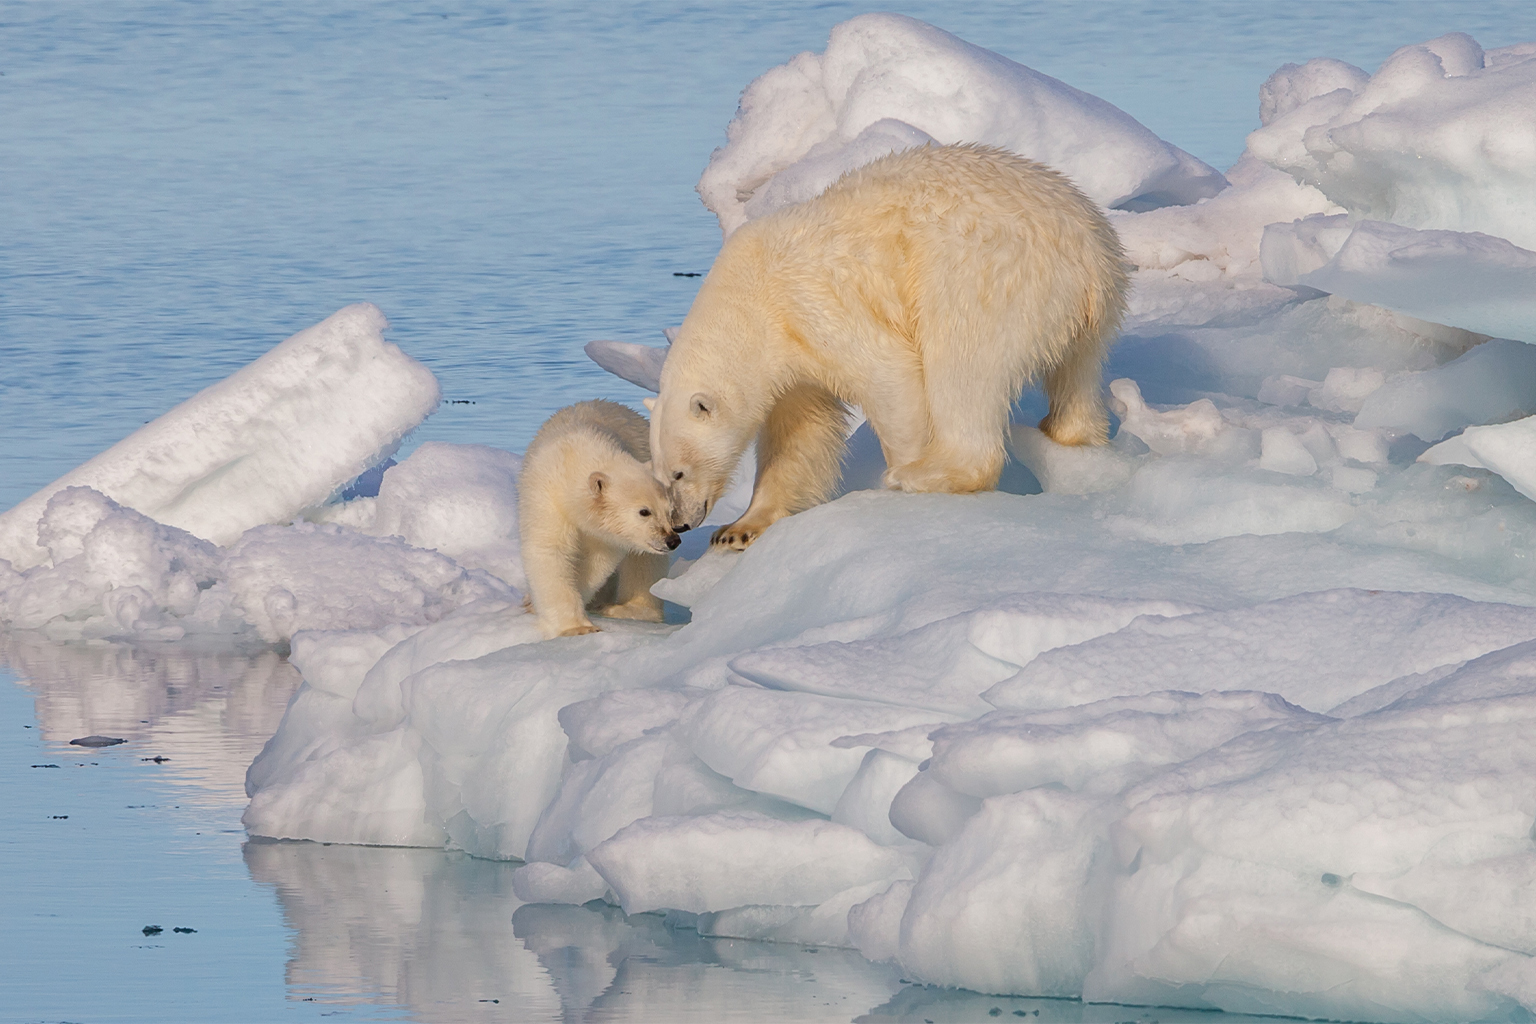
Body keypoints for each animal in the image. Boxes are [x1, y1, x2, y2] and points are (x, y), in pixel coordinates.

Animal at [519, 402, 681, 635]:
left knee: (644, 563)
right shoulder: (547, 496)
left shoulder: (606, 535)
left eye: (670, 510)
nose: (672, 540)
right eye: (644, 511)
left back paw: (626, 609)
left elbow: (595, 561)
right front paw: (576, 627)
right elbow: (550, 550)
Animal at [648, 142, 1130, 552]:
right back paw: (1070, 433)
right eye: (657, 474)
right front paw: (739, 529)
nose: (682, 524)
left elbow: (890, 375)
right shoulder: (791, 357)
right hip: (1092, 312)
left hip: (985, 276)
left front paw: (902, 470)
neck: (751, 300)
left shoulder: (814, 305)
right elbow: (798, 434)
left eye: (678, 472)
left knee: (963, 366)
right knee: (1078, 374)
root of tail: (1090, 254)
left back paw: (926, 475)